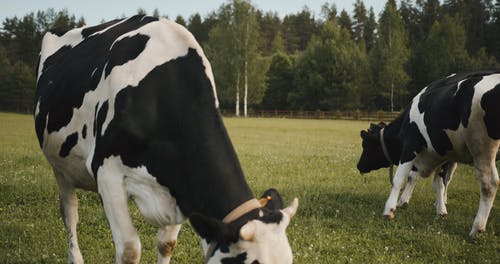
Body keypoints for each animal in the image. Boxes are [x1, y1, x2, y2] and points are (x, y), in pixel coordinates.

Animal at [36, 15, 300, 262]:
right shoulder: (106, 172)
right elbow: (130, 250)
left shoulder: (182, 187)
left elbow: (166, 244)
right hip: (61, 167)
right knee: (70, 213)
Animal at [358, 69, 500, 235]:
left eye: (366, 145)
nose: (359, 166)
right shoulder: (443, 155)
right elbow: (439, 183)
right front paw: (441, 210)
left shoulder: (410, 146)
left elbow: (401, 178)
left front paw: (392, 208)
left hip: (481, 146)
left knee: (489, 184)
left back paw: (477, 228)